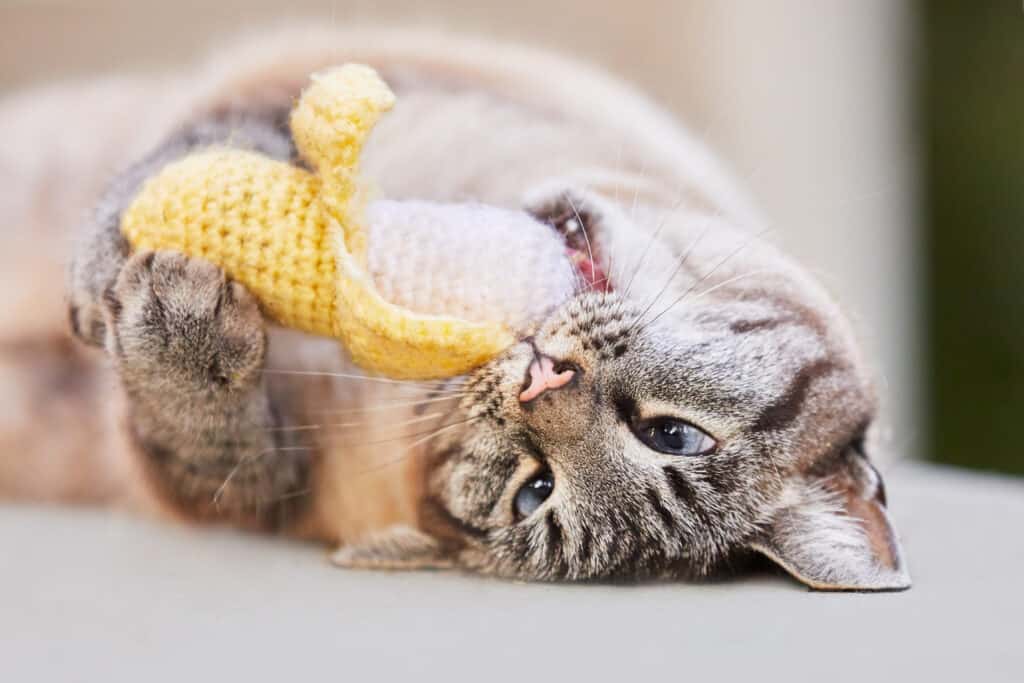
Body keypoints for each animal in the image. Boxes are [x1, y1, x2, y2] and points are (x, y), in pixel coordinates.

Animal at [0, 26, 913, 589]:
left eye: (533, 491)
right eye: (675, 434)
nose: (544, 383)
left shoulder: (244, 492)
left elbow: (205, 429)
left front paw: (180, 322)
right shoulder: (348, 73)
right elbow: (214, 146)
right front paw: (125, 241)